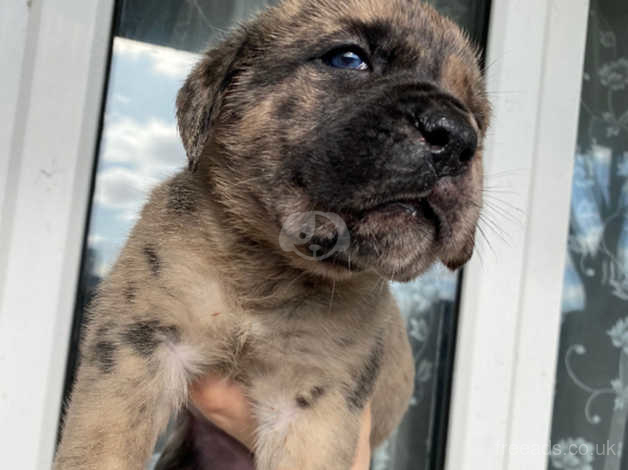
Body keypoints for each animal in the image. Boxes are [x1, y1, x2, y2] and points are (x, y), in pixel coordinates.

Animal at [54, 0, 490, 470]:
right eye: (347, 58)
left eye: (478, 118)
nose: (457, 137)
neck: (271, 266)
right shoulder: (139, 347)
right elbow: (101, 450)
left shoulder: (313, 407)